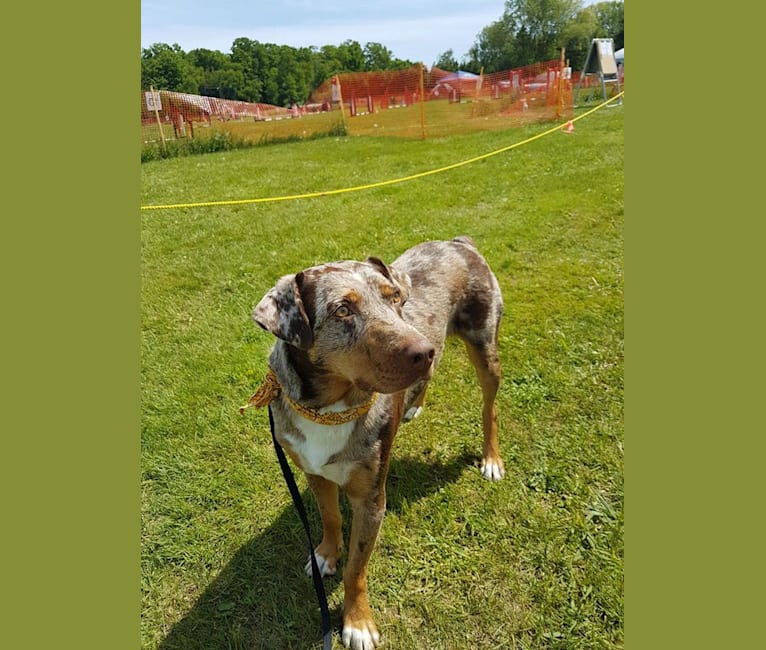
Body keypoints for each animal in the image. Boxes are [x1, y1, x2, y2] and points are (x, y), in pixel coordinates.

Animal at [249, 237, 508, 648]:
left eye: (395, 298)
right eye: (342, 310)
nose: (423, 351)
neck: (330, 408)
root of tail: (458, 241)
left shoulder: (371, 498)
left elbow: (356, 568)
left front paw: (358, 623)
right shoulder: (312, 470)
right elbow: (330, 516)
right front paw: (326, 554)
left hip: (484, 344)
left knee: (490, 408)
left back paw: (491, 459)